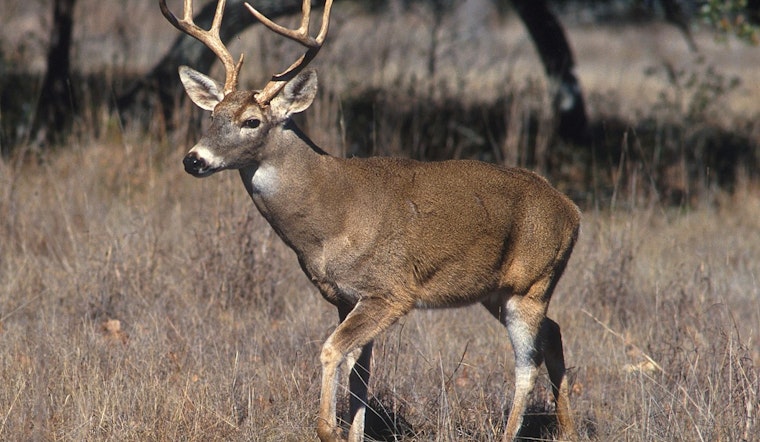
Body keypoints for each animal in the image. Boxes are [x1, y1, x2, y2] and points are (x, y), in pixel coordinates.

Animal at [159, 0, 580, 440]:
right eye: (213, 116)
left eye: (252, 121)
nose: (194, 159)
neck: (331, 219)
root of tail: (572, 209)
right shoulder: (344, 297)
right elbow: (359, 371)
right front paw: (354, 432)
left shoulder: (390, 290)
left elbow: (332, 351)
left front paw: (328, 429)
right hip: (496, 291)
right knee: (553, 332)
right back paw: (568, 428)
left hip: (532, 283)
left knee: (526, 364)